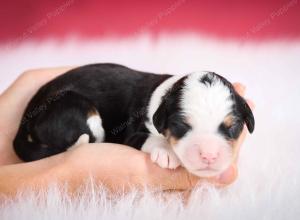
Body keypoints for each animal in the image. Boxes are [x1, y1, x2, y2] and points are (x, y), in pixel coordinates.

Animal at [12, 63, 254, 177]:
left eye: (232, 127)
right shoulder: (132, 133)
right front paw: (166, 152)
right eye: (182, 126)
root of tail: (27, 116)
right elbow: (149, 138)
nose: (209, 156)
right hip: (80, 110)